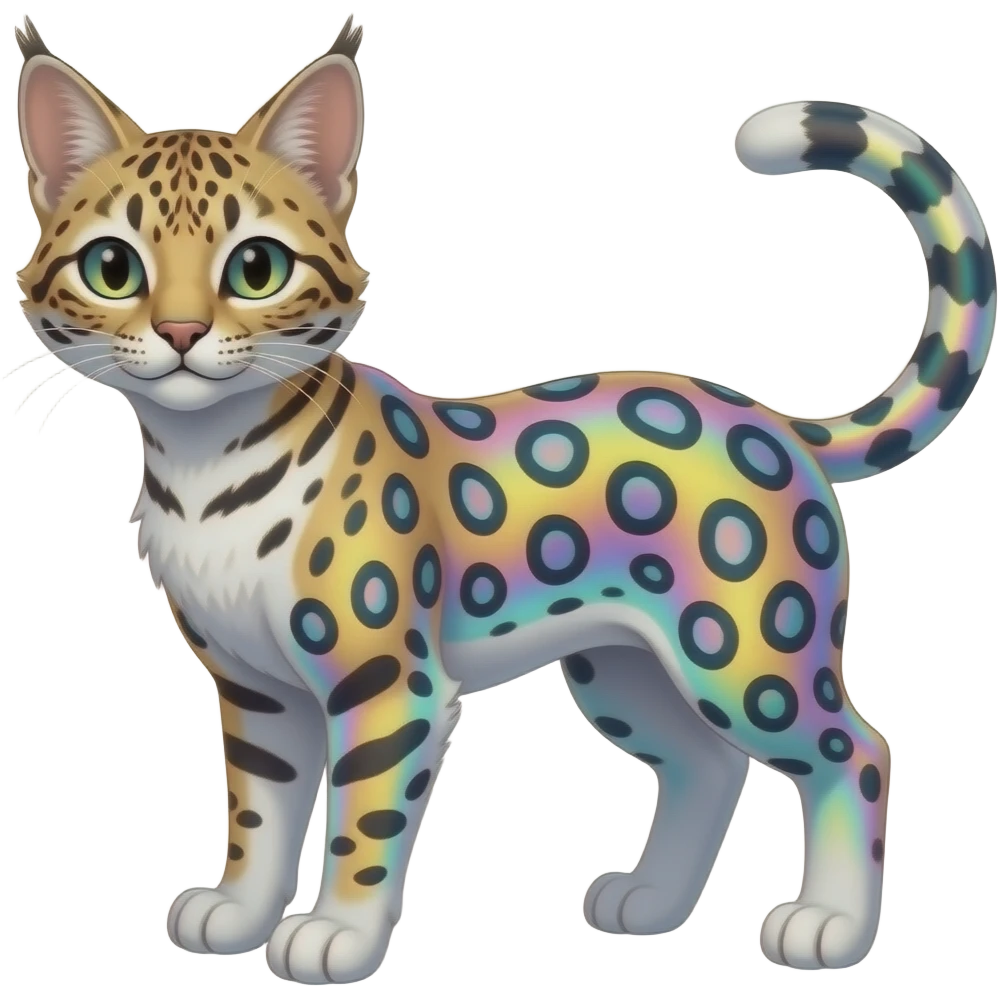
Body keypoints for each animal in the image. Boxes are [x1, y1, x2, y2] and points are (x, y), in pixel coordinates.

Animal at [12, 13, 996, 984]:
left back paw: (830, 923)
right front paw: (239, 913)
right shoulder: (255, 688)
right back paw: (653, 901)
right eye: (113, 267)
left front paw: (337, 936)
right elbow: (258, 816)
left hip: (746, 654)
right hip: (624, 670)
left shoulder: (391, 686)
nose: (180, 333)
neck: (207, 470)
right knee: (709, 766)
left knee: (856, 752)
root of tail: (768, 415)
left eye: (256, 267)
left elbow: (363, 824)